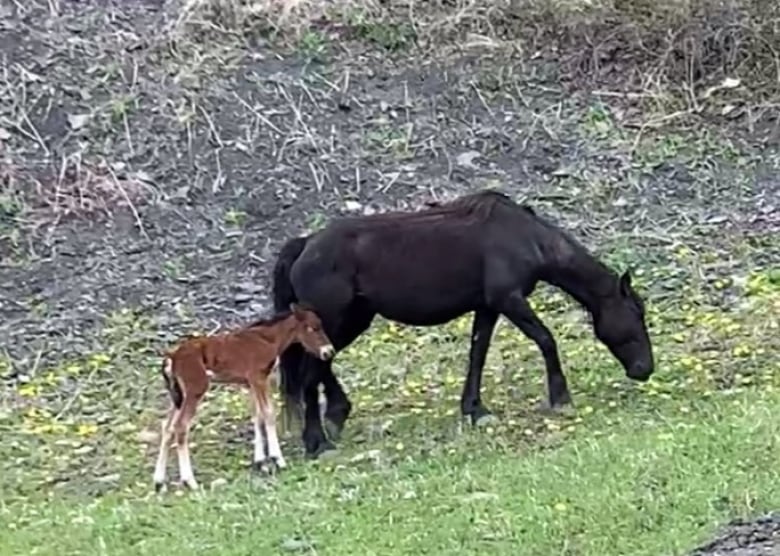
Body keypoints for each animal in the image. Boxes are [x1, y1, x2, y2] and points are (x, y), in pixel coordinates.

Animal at [153, 304, 336, 490]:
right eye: (312, 328)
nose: (329, 351)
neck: (269, 339)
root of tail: (172, 357)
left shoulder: (250, 384)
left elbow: (257, 416)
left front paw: (261, 462)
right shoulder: (259, 378)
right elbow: (268, 413)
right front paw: (278, 459)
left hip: (179, 396)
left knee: (167, 427)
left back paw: (159, 481)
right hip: (195, 390)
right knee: (181, 427)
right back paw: (189, 480)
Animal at [272, 189, 656, 458]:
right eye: (636, 315)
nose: (645, 369)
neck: (525, 237)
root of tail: (305, 245)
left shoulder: (488, 308)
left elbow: (478, 354)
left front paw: (475, 409)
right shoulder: (509, 300)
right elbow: (546, 339)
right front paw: (560, 396)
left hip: (351, 320)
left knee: (320, 367)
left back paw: (337, 415)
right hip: (335, 320)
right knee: (309, 375)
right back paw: (317, 442)